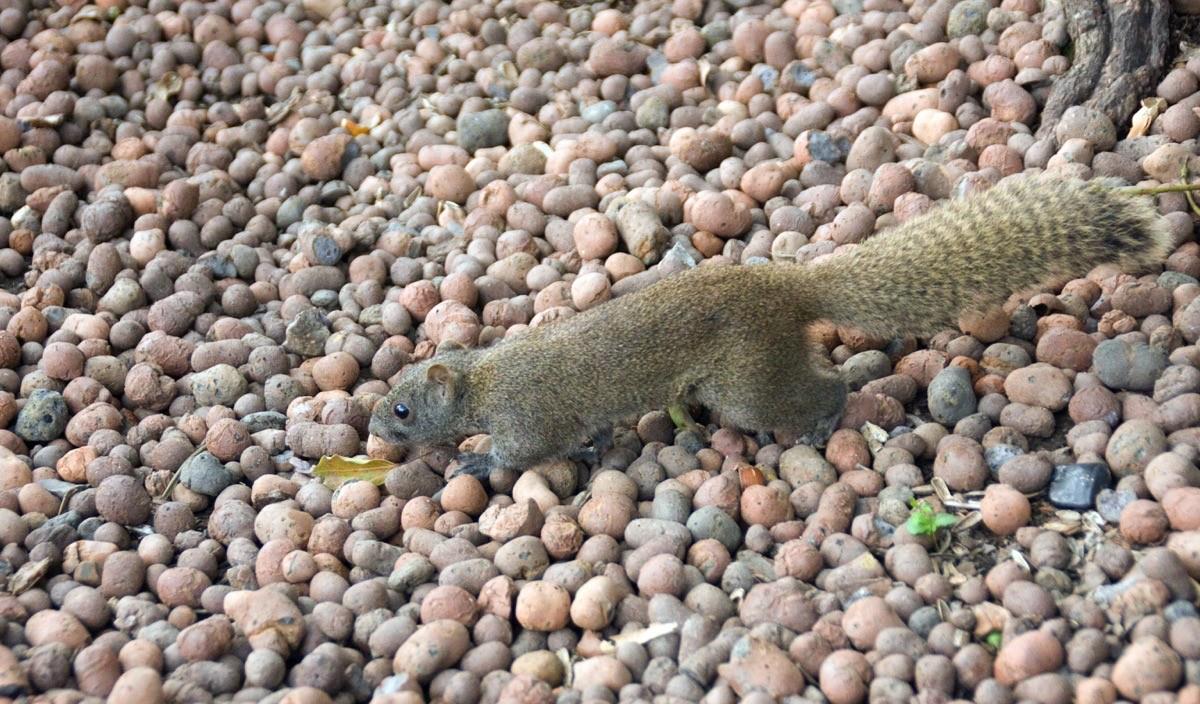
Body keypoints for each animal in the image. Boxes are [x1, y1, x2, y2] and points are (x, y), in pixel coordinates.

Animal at [367, 175, 1171, 479]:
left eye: (401, 409)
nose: (372, 433)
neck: (486, 375)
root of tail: (786, 283)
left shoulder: (527, 418)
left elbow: (519, 454)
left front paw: (472, 465)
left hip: (747, 388)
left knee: (825, 392)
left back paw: (825, 420)